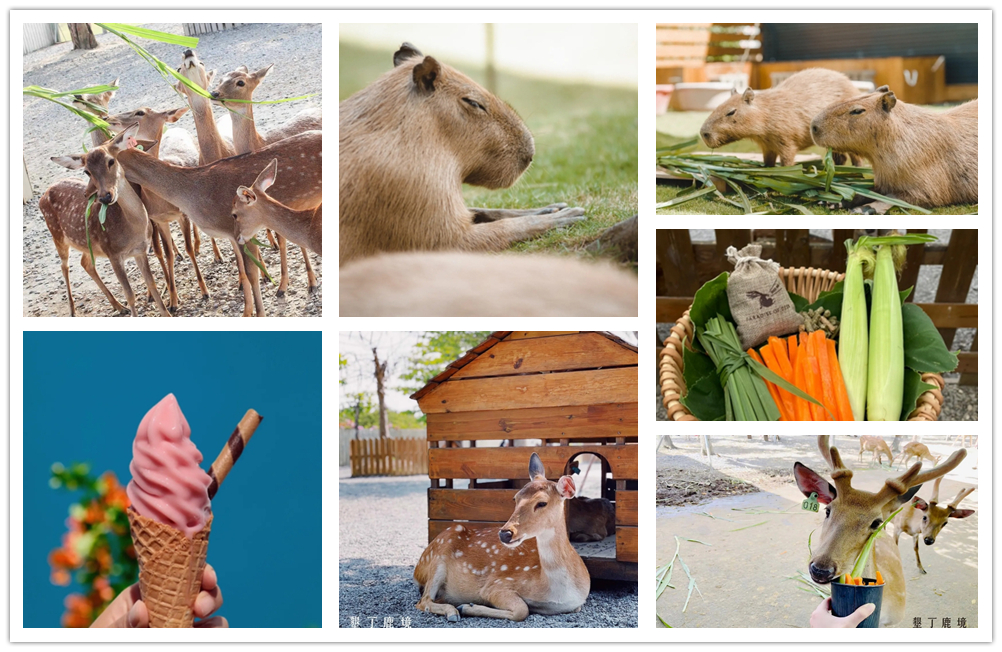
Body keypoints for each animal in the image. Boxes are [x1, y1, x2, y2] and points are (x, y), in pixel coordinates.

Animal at [40, 124, 170, 318]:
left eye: (111, 161)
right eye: (87, 171)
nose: (104, 197)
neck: (132, 228)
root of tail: (44, 194)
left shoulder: (140, 250)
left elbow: (152, 285)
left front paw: (168, 313)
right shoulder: (113, 253)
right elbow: (130, 294)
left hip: (87, 242)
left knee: (85, 263)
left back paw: (118, 306)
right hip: (57, 234)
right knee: (65, 267)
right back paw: (72, 310)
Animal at [412, 454, 589, 620]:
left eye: (542, 503)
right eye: (515, 498)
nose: (505, 533)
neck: (559, 593)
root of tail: (416, 571)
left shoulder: (578, 604)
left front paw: (467, 606)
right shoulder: (495, 584)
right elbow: (522, 610)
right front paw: (467, 607)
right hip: (438, 555)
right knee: (423, 601)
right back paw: (453, 611)